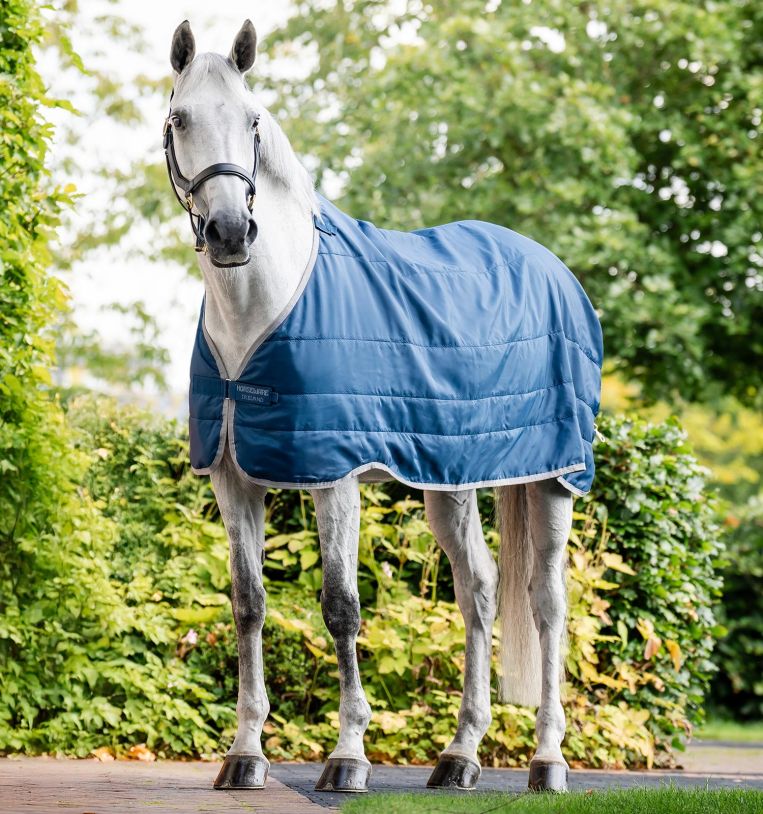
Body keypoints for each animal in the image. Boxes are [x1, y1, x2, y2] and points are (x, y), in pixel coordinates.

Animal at [164, 20, 602, 795]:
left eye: (252, 121)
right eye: (180, 119)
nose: (230, 232)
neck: (262, 310)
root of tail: (554, 269)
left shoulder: (333, 475)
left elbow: (341, 607)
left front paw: (348, 756)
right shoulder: (232, 477)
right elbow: (248, 603)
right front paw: (244, 754)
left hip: (554, 478)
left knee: (546, 603)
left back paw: (547, 762)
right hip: (451, 481)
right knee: (478, 590)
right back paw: (459, 756)